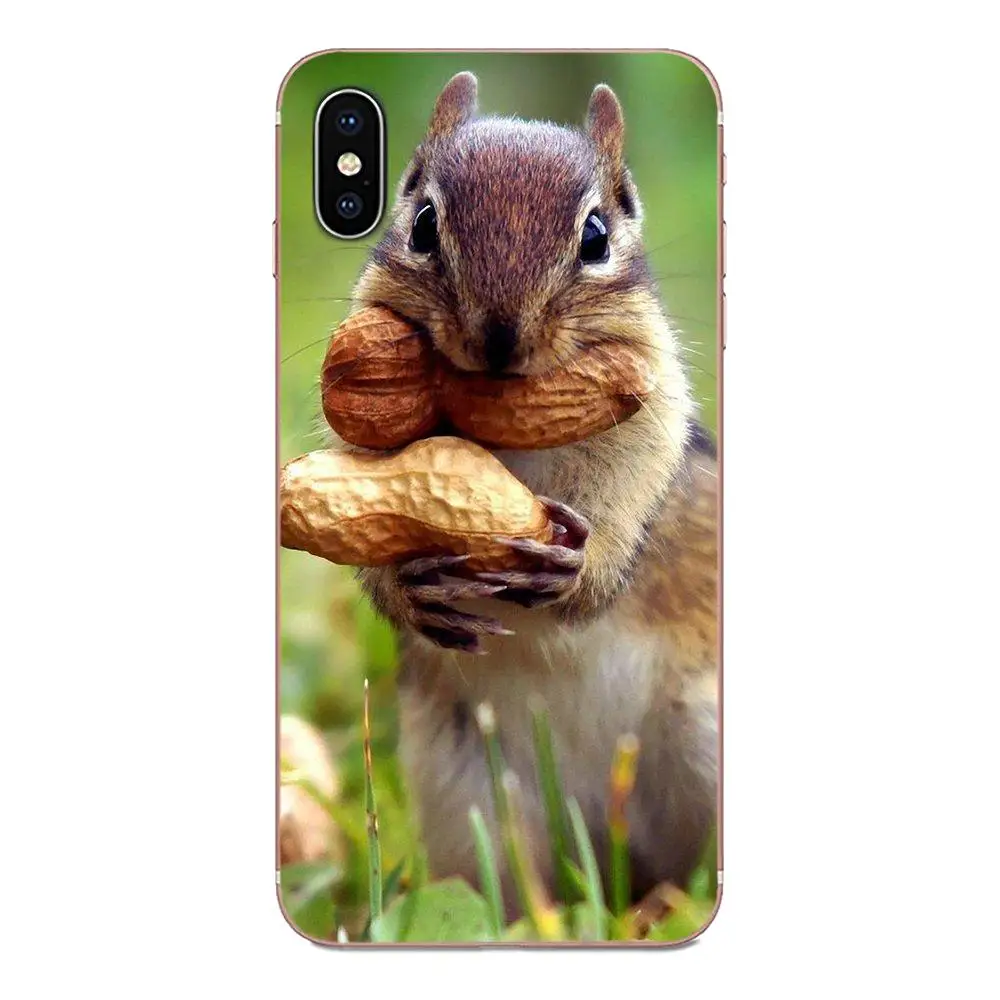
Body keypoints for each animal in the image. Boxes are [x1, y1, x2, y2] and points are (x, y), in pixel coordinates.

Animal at [339, 72, 718, 909]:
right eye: (422, 224)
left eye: (597, 237)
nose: (499, 339)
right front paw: (406, 588)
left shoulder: (653, 406)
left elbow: (631, 489)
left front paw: (580, 570)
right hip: (468, 794)